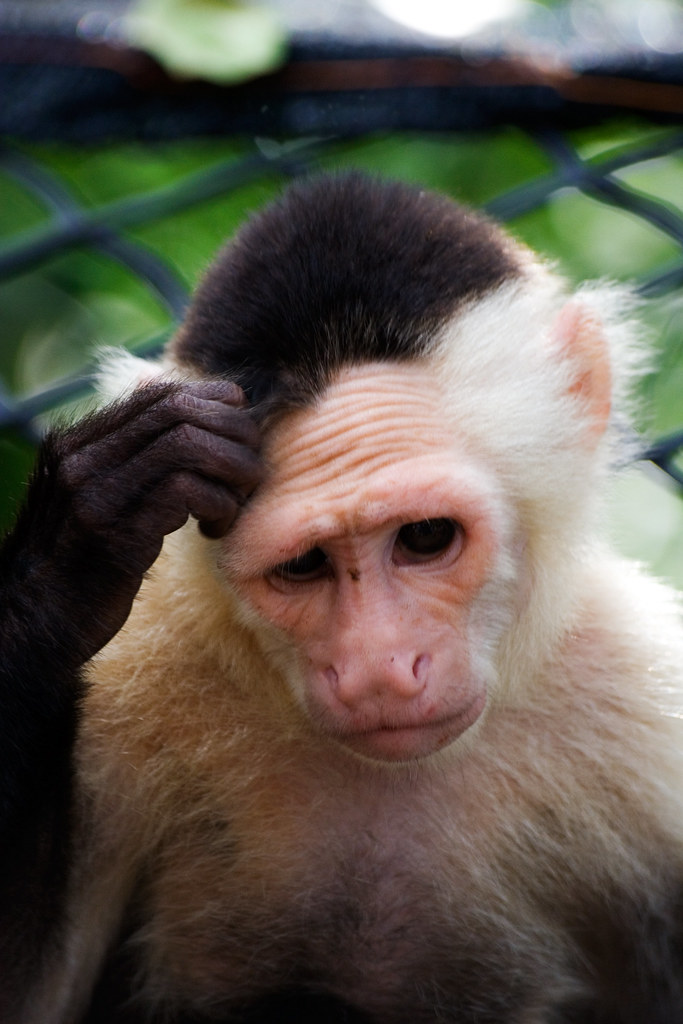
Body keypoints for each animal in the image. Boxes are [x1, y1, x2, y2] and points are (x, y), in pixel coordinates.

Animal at [1, 172, 683, 1019]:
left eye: (425, 537)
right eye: (303, 565)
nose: (378, 669)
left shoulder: (646, 711)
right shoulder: (134, 680)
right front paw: (76, 547)